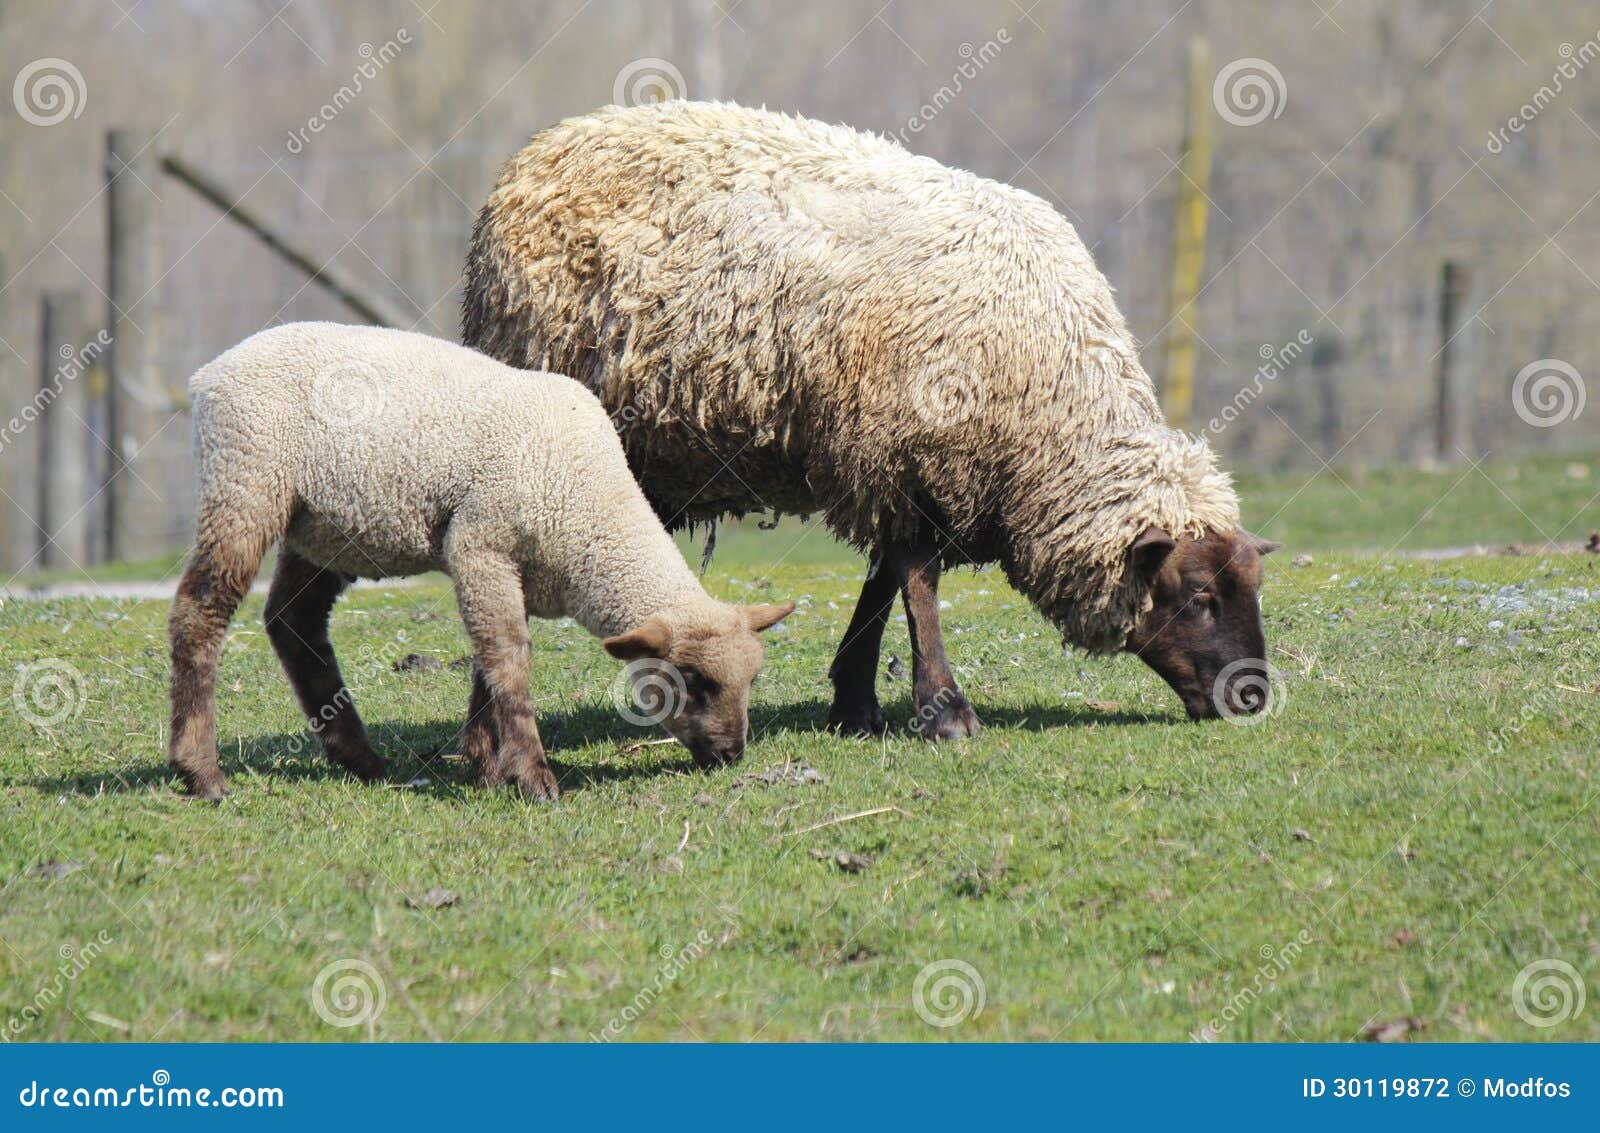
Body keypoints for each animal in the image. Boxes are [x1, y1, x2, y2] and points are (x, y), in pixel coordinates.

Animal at [167, 322, 793, 801]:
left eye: (753, 678)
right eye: (692, 680)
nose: (731, 754)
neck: (589, 505)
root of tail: (209, 374)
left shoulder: (510, 569)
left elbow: (486, 663)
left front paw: (486, 763)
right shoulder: (480, 543)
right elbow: (509, 659)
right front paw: (531, 777)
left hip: (321, 526)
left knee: (293, 622)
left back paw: (358, 758)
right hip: (246, 480)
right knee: (201, 613)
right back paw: (201, 773)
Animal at [461, 101, 1277, 739]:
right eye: (1199, 595)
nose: (1254, 696)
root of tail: (536, 154)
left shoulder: (902, 465)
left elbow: (885, 581)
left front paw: (856, 702)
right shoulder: (909, 453)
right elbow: (916, 581)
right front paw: (944, 709)